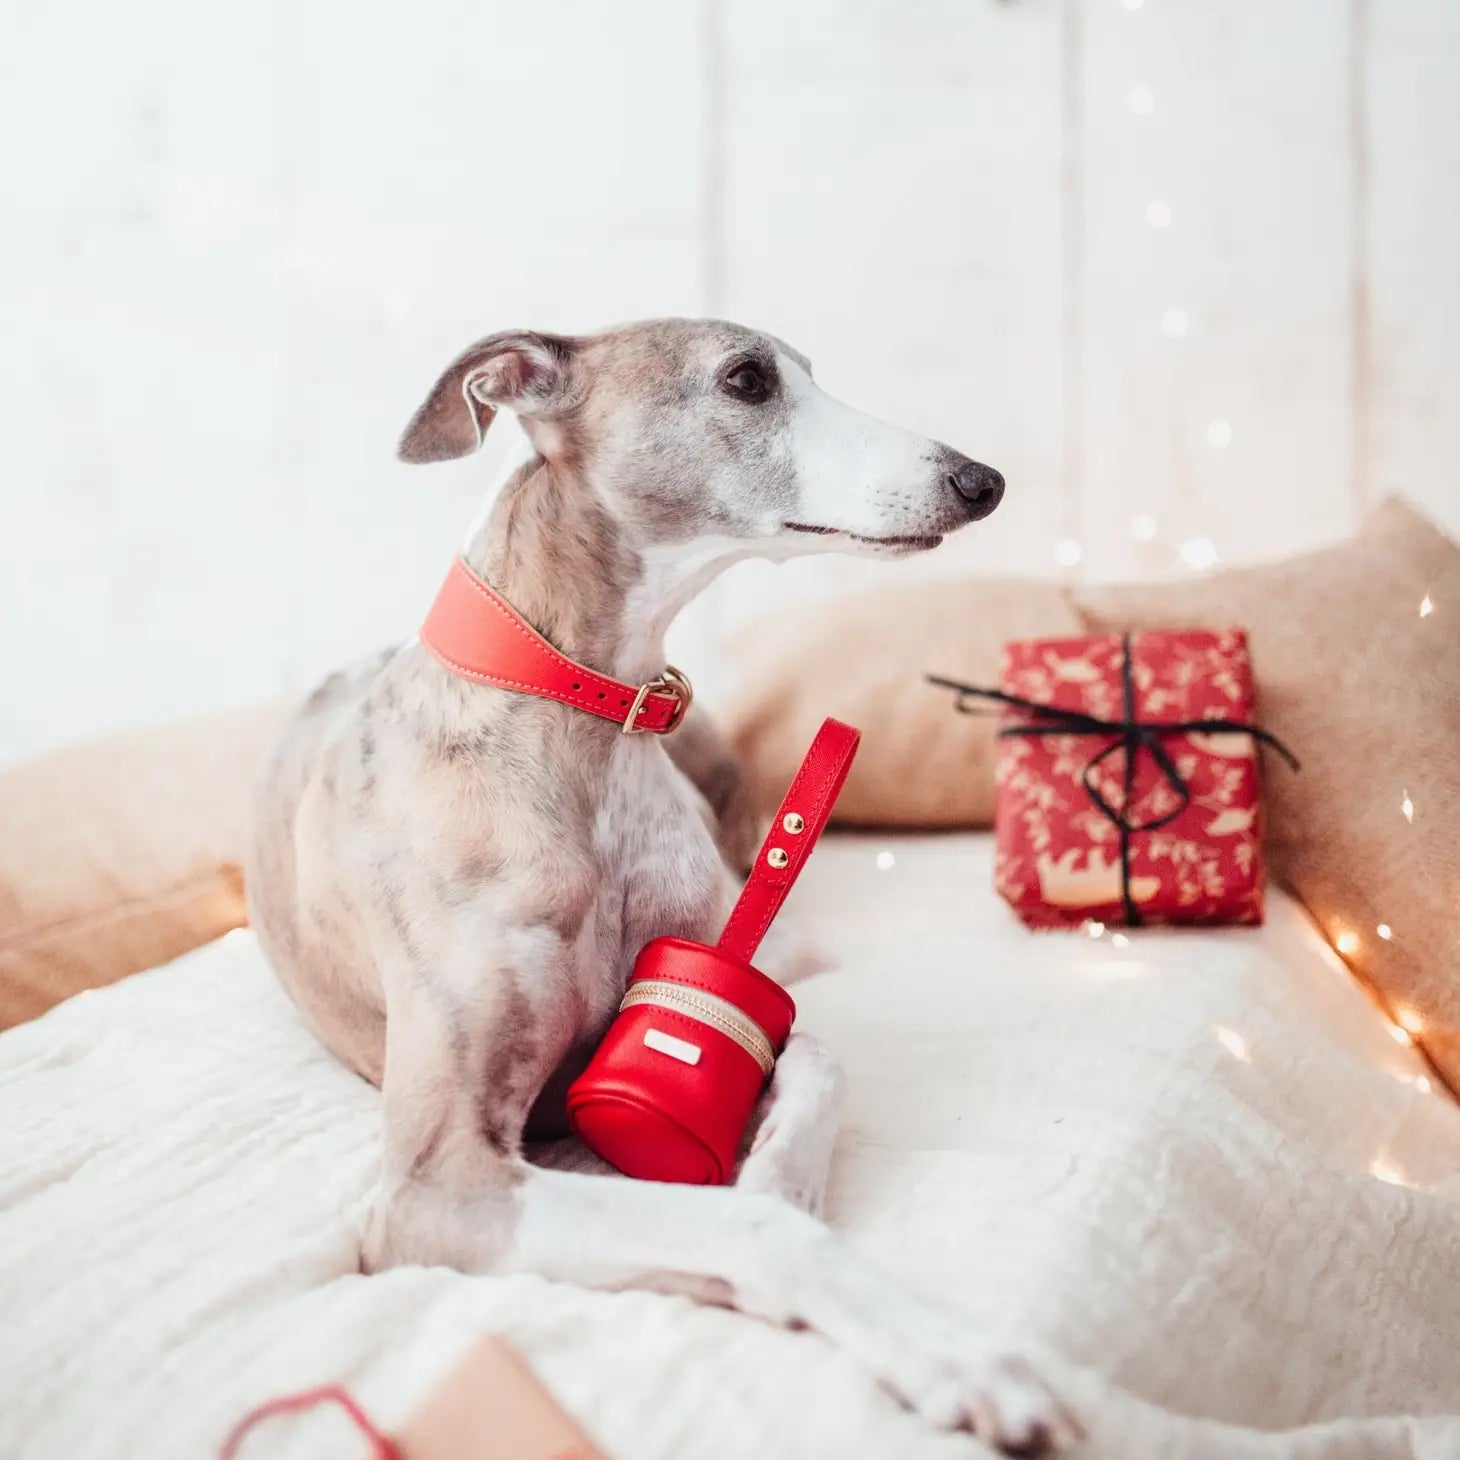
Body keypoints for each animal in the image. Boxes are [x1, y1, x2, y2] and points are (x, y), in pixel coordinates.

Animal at [245, 319, 1080, 1448]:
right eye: (747, 379)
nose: (980, 480)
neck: (580, 730)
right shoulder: (435, 1181)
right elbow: (750, 1223)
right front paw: (949, 1351)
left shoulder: (720, 976)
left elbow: (815, 1059)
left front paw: (777, 1169)